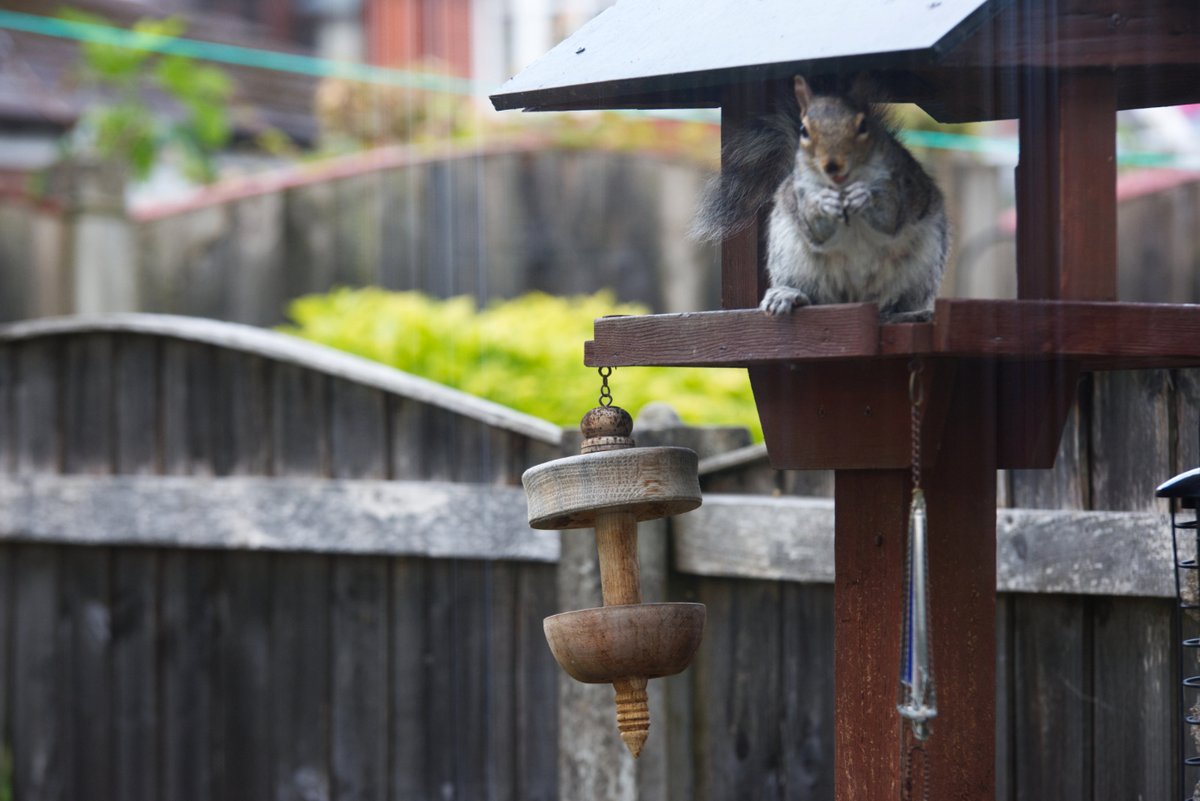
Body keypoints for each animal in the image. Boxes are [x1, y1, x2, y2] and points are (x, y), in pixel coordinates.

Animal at [693, 75, 948, 323]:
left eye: (863, 126)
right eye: (804, 130)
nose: (832, 164)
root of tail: (855, 297)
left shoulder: (903, 183)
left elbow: (891, 218)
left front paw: (864, 196)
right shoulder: (800, 195)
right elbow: (814, 228)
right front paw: (823, 204)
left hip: (921, 269)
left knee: (896, 304)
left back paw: (909, 314)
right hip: (791, 257)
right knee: (815, 296)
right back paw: (789, 294)